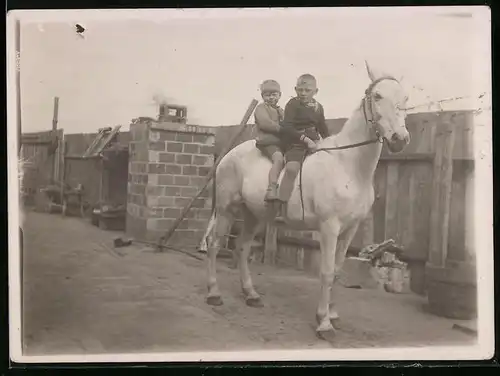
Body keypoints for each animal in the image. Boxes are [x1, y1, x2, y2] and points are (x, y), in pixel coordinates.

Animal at [203, 62, 410, 340]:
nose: (400, 139)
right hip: (227, 209)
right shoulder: (329, 227)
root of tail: (227, 156)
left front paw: (333, 315)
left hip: (253, 214)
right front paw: (324, 323)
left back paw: (251, 295)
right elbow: (326, 272)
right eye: (377, 96)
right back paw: (214, 294)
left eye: (404, 98)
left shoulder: (349, 229)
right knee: (215, 244)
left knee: (242, 248)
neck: (347, 164)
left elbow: (338, 270)